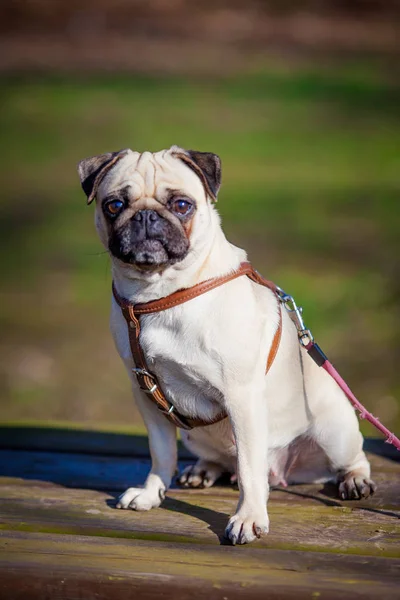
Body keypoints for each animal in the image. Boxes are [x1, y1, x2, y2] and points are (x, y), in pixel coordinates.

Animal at [77, 145, 376, 544]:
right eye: (114, 205)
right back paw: (203, 469)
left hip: (334, 432)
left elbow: (249, 471)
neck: (160, 294)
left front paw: (248, 518)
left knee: (349, 459)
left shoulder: (241, 397)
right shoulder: (146, 396)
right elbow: (161, 452)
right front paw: (152, 492)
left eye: (182, 205)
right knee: (219, 459)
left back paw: (354, 481)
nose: (145, 216)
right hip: (194, 435)